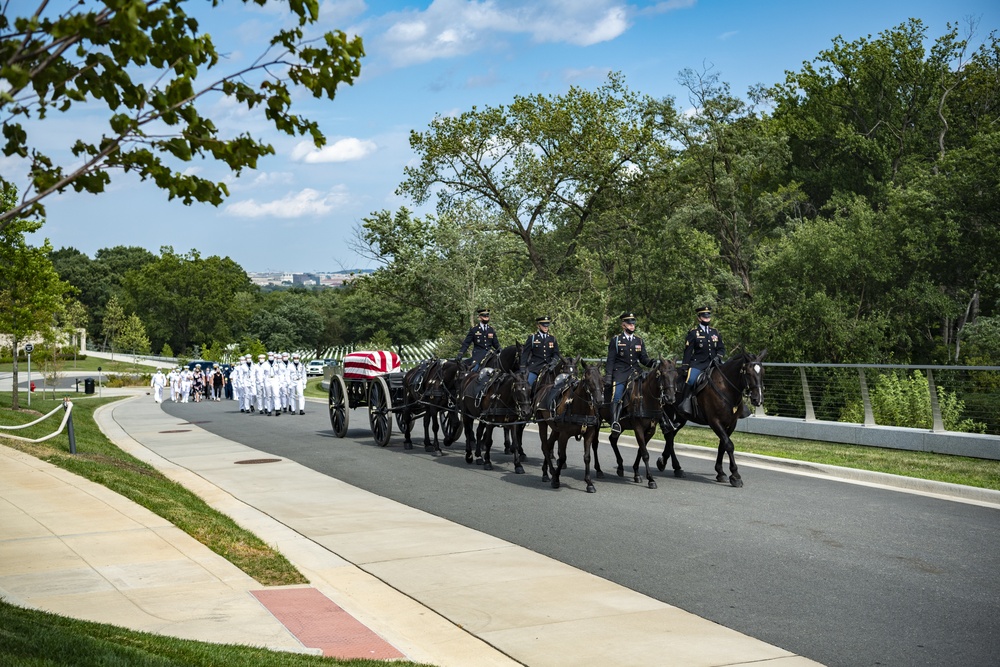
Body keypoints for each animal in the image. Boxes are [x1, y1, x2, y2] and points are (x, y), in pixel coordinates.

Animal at [540, 360, 600, 496]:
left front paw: (589, 483)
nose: (600, 399)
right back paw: (550, 472)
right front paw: (556, 479)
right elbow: (562, 458)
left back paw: (545, 472)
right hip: (543, 423)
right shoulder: (564, 435)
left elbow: (587, 457)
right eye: (588, 380)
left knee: (549, 444)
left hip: (555, 429)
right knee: (545, 447)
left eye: (602, 379)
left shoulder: (589, 434)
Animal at [592, 360, 680, 490]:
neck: (647, 398)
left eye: (676, 376)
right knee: (595, 444)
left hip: (621, 426)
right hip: (596, 423)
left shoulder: (650, 430)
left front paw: (637, 474)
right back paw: (599, 470)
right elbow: (645, 453)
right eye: (663, 375)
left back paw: (620, 467)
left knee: (613, 439)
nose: (670, 398)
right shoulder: (638, 428)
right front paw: (651, 479)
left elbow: (640, 450)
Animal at [652, 352, 768, 488]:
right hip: (671, 413)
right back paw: (677, 467)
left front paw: (720, 472)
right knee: (669, 437)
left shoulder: (731, 423)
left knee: (671, 436)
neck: (726, 387)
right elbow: (729, 445)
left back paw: (664, 461)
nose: (758, 399)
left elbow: (722, 446)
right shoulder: (715, 422)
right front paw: (735, 476)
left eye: (763, 372)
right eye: (748, 373)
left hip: (681, 418)